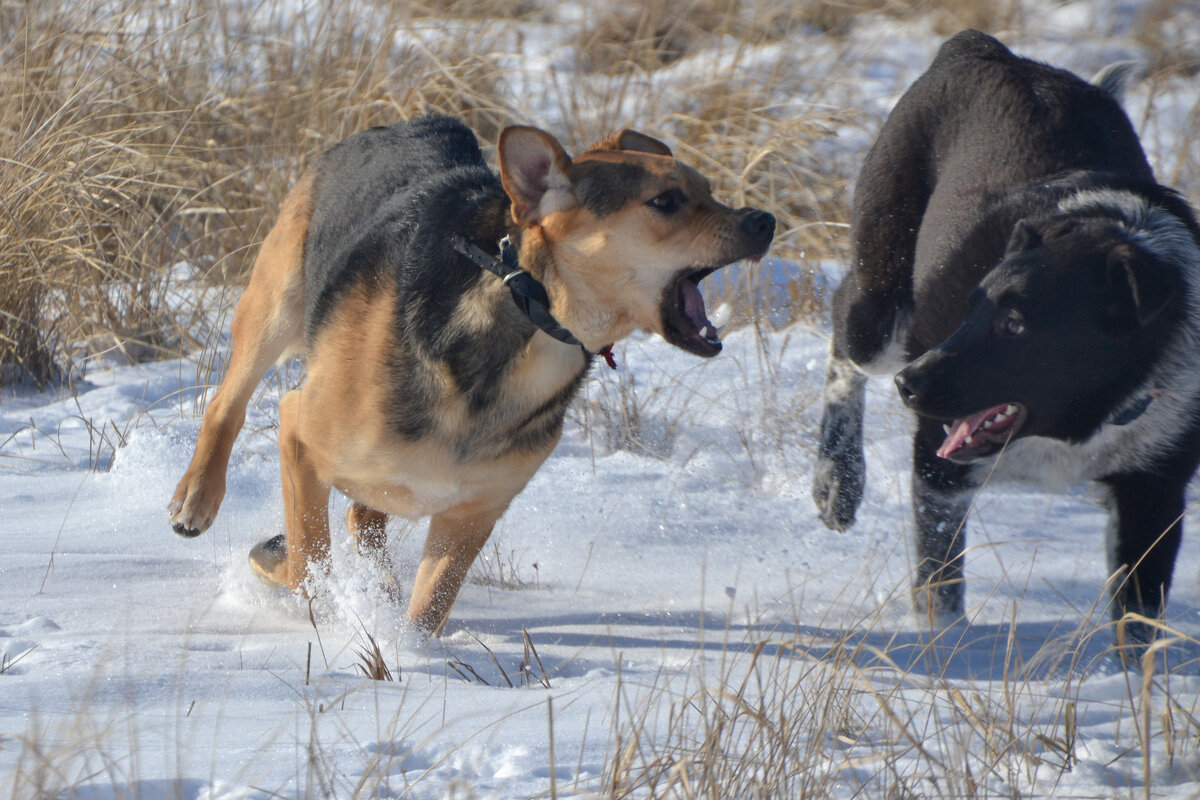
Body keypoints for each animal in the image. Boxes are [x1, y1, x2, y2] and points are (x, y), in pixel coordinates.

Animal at [169, 115, 772, 633]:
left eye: (708, 190)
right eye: (665, 202)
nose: (764, 220)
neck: (528, 315)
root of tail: (402, 124)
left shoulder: (474, 513)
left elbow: (430, 606)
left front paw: (407, 651)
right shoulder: (300, 430)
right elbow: (305, 565)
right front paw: (290, 573)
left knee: (365, 515)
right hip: (278, 301)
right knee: (227, 402)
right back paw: (197, 496)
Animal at [816, 31, 1200, 642]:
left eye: (1016, 326)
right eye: (973, 307)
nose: (908, 386)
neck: (1081, 423)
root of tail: (986, 49)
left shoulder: (1153, 495)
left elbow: (1138, 627)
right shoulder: (939, 466)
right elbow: (939, 583)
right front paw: (946, 648)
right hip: (881, 311)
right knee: (841, 324)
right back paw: (837, 481)